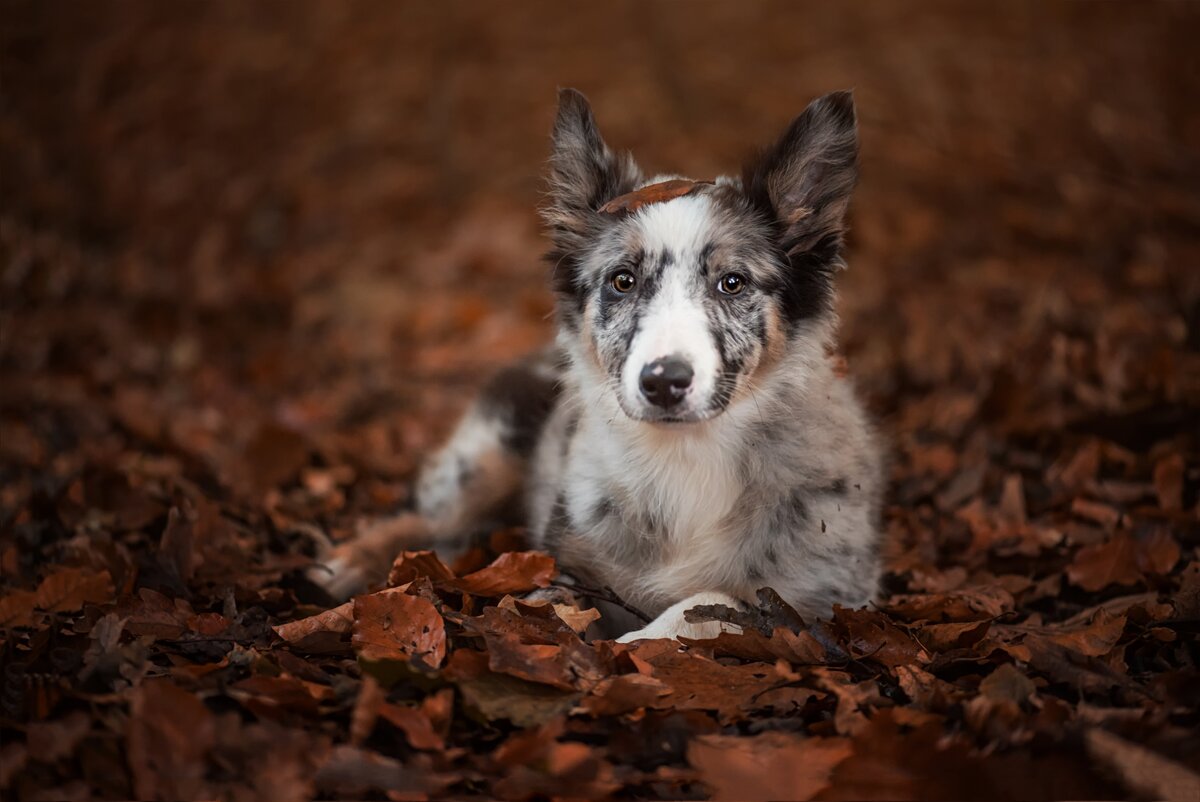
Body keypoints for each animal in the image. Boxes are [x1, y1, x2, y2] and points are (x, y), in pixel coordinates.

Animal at [314, 87, 888, 643]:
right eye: (623, 281)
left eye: (733, 283)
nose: (664, 382)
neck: (685, 456)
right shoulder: (571, 563)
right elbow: (546, 605)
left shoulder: (823, 603)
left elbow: (711, 602)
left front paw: (639, 644)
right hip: (487, 453)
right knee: (429, 520)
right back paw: (347, 565)